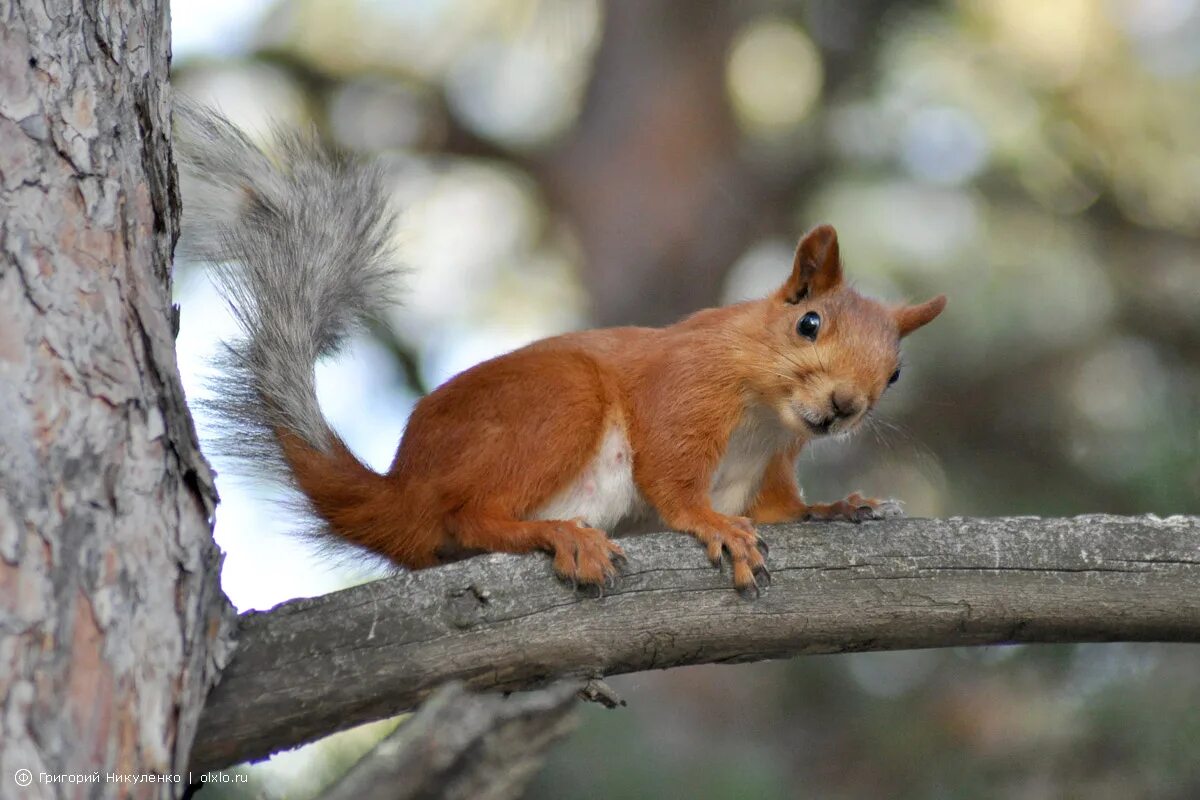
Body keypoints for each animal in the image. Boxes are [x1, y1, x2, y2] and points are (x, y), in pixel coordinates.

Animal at [177, 103, 945, 597]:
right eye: (809, 323)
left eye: (895, 373)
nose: (843, 406)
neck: (765, 416)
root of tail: (403, 491)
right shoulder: (683, 390)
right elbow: (672, 476)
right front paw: (711, 524)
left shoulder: (774, 462)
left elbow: (782, 508)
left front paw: (835, 508)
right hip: (558, 403)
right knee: (468, 517)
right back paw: (559, 535)